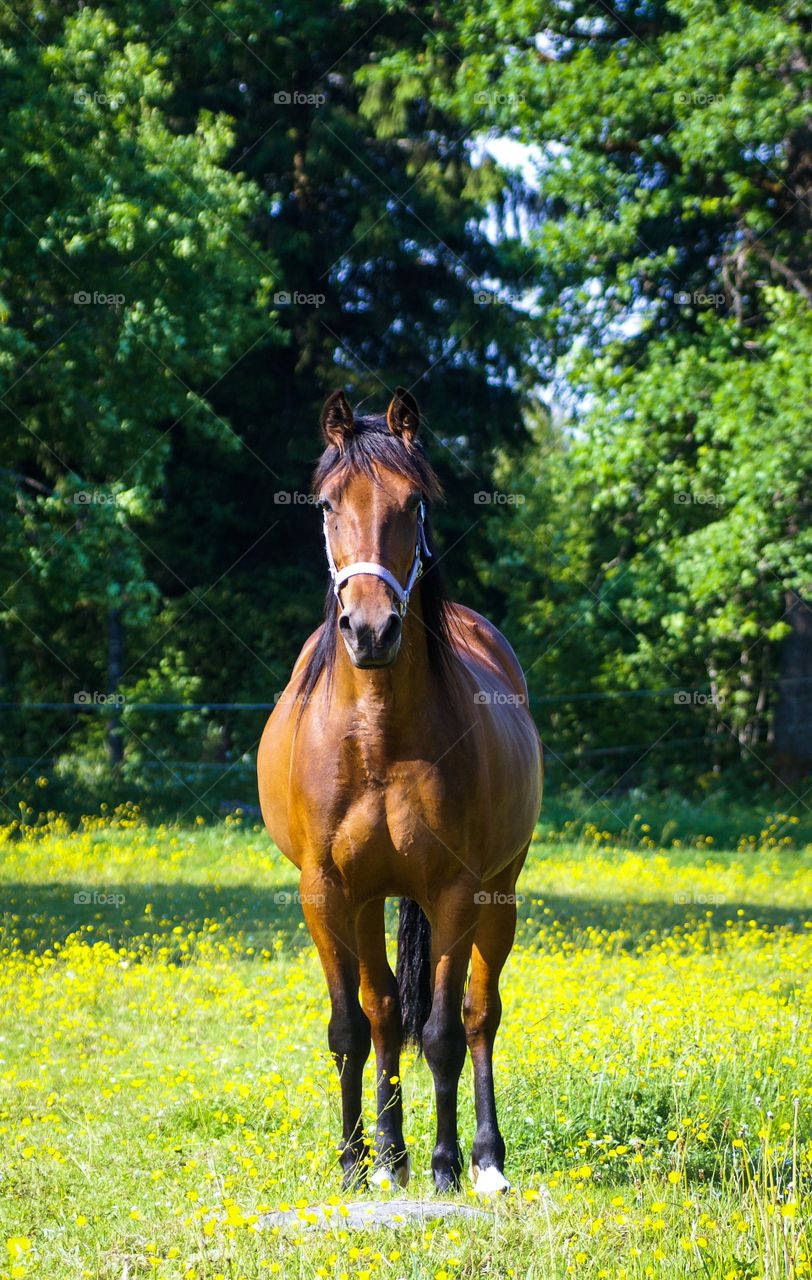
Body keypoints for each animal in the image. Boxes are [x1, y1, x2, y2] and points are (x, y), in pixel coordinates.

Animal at [257, 387, 542, 1195]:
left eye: (413, 502)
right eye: (325, 504)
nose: (371, 628)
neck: (378, 737)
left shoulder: (454, 891)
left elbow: (445, 1030)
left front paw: (449, 1166)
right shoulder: (326, 893)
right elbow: (351, 1024)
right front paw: (357, 1162)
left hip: (499, 894)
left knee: (480, 1014)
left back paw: (485, 1160)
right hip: (366, 901)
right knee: (384, 1010)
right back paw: (390, 1157)